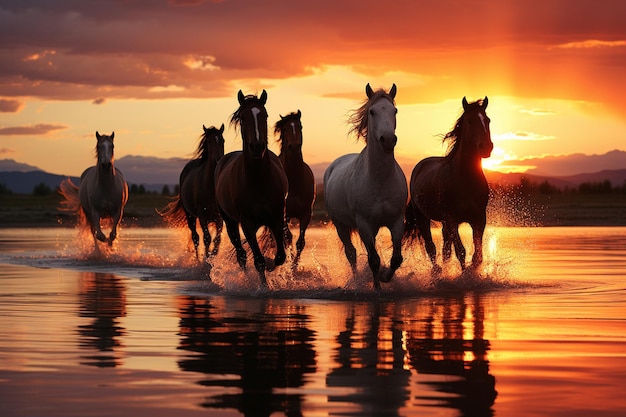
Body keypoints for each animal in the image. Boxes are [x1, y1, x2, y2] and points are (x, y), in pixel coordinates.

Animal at [158, 124, 224, 260]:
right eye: (209, 141)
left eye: (222, 140)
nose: (217, 161)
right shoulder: (202, 216)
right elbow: (207, 238)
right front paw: (205, 260)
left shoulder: (220, 218)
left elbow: (217, 239)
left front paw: (212, 256)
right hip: (190, 216)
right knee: (195, 238)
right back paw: (198, 260)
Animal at [212, 90, 286, 286]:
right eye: (242, 117)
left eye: (264, 115)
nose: (257, 147)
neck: (259, 181)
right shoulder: (247, 224)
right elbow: (258, 260)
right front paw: (263, 286)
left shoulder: (277, 218)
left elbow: (280, 257)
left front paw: (271, 263)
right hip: (230, 222)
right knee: (241, 255)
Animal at [272, 109, 314, 264]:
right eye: (285, 129)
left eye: (300, 127)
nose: (294, 147)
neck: (295, 181)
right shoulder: (282, 215)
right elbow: (288, 239)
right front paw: (290, 265)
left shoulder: (306, 214)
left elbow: (300, 242)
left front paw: (295, 265)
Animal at [324, 83, 408, 288]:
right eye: (372, 111)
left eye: (394, 110)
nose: (388, 140)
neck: (380, 180)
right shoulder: (364, 224)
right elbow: (373, 260)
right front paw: (377, 286)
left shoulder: (396, 221)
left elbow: (396, 259)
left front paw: (385, 276)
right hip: (340, 225)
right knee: (351, 253)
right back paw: (356, 281)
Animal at [404, 97, 492, 272]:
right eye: (470, 121)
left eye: (487, 120)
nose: (487, 147)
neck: (465, 180)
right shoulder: (452, 219)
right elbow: (461, 252)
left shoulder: (479, 218)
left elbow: (477, 255)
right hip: (423, 217)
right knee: (431, 247)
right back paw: (437, 271)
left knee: (445, 249)